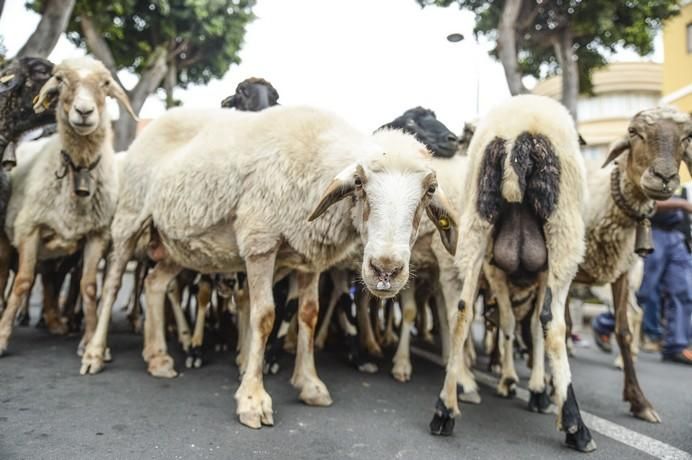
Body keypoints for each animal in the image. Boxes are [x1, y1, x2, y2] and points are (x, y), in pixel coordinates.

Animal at [0, 55, 136, 354]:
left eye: (105, 83)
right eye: (58, 79)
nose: (84, 111)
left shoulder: (96, 235)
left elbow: (88, 286)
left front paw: (91, 341)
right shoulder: (28, 229)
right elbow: (22, 282)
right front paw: (2, 336)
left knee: (53, 279)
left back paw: (54, 321)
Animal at [81, 103, 460, 428]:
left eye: (429, 190)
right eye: (359, 183)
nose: (385, 270)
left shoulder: (309, 257)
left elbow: (309, 314)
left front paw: (309, 384)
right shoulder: (259, 241)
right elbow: (263, 316)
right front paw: (252, 399)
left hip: (177, 243)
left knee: (155, 284)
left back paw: (157, 357)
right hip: (130, 217)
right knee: (113, 284)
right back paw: (95, 353)